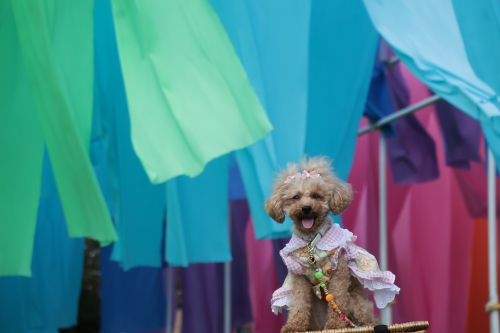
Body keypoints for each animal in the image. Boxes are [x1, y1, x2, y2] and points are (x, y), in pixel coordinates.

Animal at [266, 156, 398, 332]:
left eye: (316, 196)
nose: (306, 208)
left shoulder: (339, 272)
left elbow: (338, 298)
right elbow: (299, 303)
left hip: (358, 306)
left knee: (370, 320)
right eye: (296, 197)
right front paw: (294, 325)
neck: (311, 243)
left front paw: (335, 325)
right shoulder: (299, 277)